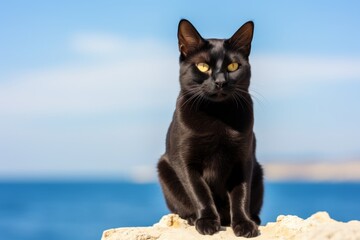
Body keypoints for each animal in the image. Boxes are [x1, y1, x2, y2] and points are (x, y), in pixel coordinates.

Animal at [158, 19, 264, 237]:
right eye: (203, 66)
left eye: (233, 66)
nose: (220, 82)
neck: (218, 116)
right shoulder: (184, 160)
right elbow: (199, 191)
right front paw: (207, 221)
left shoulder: (243, 158)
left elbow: (241, 193)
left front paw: (244, 223)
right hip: (164, 169)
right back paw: (193, 218)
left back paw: (253, 218)